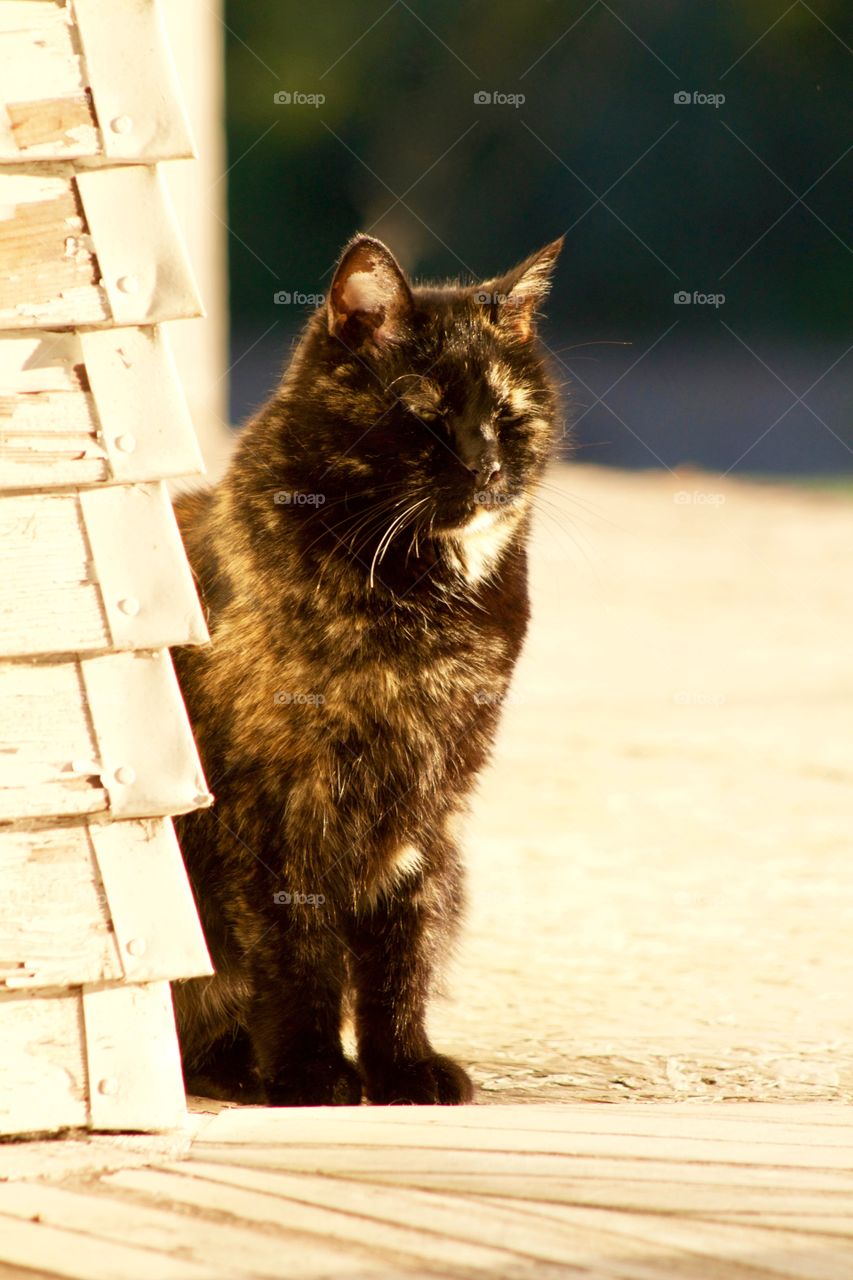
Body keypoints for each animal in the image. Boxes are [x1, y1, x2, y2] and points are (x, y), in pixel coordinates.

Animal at [169, 227, 560, 1100]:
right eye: (424, 411)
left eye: (509, 414)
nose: (487, 466)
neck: (419, 608)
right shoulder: (277, 801)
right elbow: (298, 947)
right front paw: (311, 1073)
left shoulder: (429, 803)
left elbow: (398, 948)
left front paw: (404, 1067)